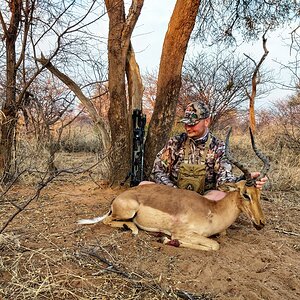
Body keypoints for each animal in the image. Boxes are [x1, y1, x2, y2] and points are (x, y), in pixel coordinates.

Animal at [79, 129, 270, 251]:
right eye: (246, 194)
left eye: (259, 194)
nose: (261, 223)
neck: (213, 210)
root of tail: (119, 198)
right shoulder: (183, 232)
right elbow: (214, 245)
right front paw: (166, 239)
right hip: (128, 211)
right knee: (107, 220)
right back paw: (133, 229)